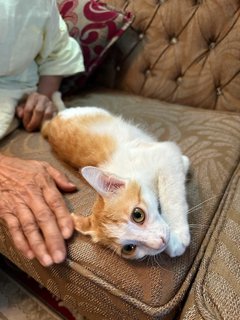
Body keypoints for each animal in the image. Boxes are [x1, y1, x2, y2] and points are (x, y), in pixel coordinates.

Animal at [41, 92, 191, 260]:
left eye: (137, 215)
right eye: (129, 248)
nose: (161, 242)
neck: (129, 171)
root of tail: (50, 126)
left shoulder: (165, 153)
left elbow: (171, 195)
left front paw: (177, 234)